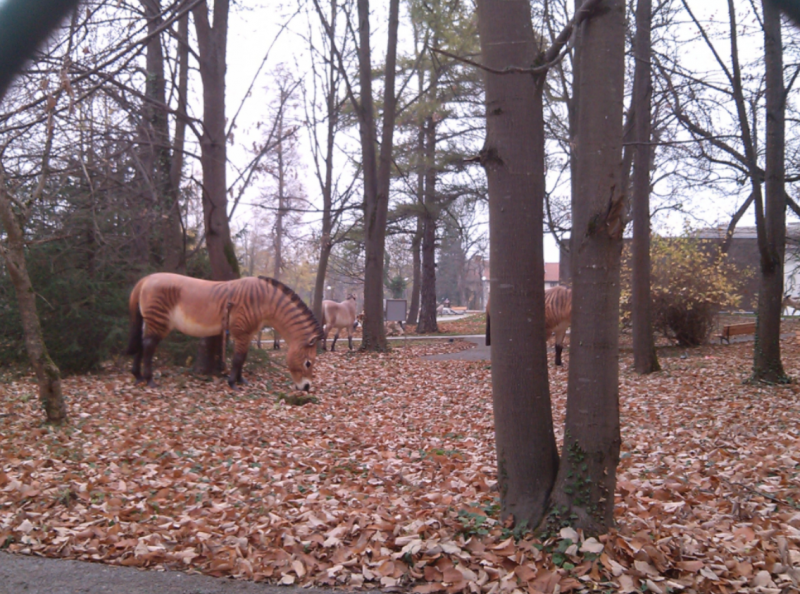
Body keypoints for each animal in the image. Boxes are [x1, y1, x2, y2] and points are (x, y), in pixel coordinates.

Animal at [128, 272, 322, 388]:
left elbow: (243, 358)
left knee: (141, 344)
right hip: (159, 321)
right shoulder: (241, 332)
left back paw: (138, 376)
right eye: (308, 363)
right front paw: (232, 383)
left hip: (149, 321)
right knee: (148, 347)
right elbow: (238, 358)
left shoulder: (248, 333)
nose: (306, 388)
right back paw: (149, 380)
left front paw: (241, 380)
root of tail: (146, 279)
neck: (263, 301)